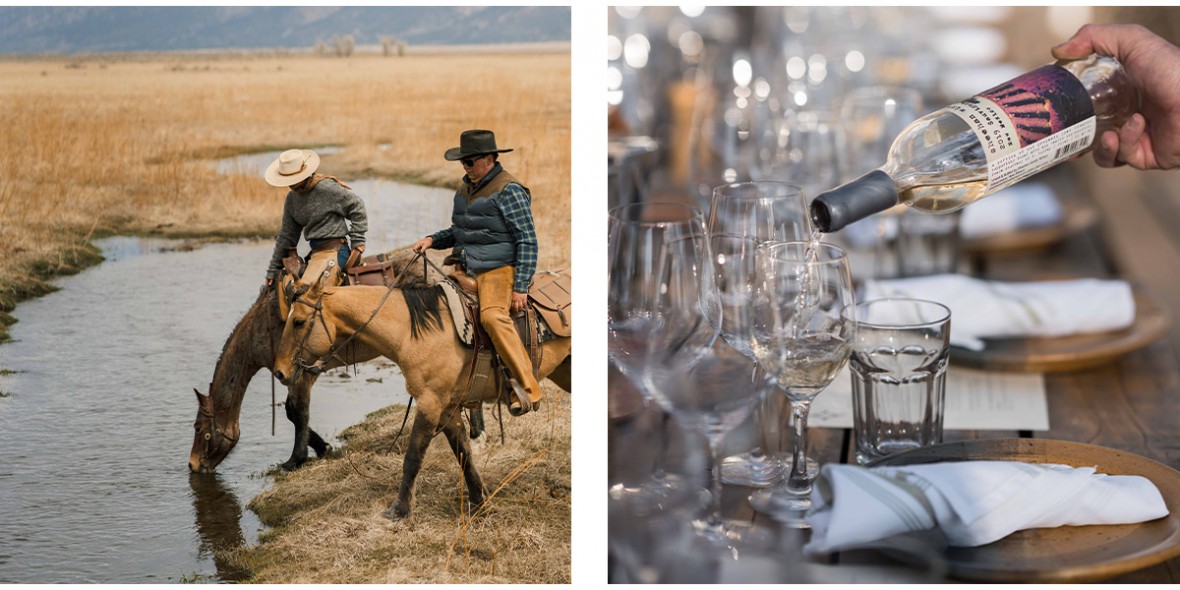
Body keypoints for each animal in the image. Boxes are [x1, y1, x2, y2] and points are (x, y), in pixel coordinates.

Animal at [272, 260, 575, 519]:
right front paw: (479, 502)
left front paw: (399, 510)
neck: (413, 332)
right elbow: (463, 454)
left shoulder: (430, 402)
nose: (280, 371)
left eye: (299, 321)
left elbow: (413, 456)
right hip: (565, 372)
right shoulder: (448, 407)